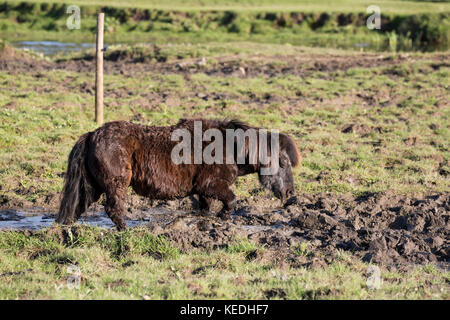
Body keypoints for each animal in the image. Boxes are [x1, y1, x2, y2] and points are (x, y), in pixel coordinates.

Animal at [57, 119, 302, 229]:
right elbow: (231, 201)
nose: (289, 192)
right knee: (114, 209)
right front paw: (222, 219)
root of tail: (92, 135)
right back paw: (126, 231)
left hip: (93, 187)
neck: (229, 146)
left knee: (78, 205)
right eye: (282, 162)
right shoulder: (211, 186)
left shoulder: (204, 192)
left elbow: (205, 209)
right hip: (115, 185)